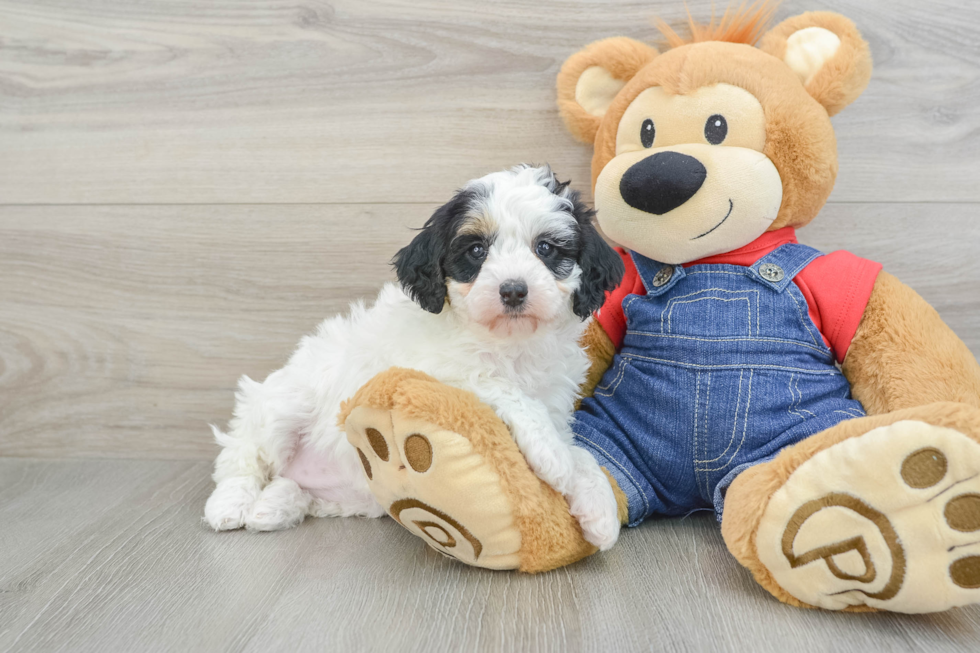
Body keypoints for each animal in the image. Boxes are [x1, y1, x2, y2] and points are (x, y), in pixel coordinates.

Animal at [203, 166, 624, 548]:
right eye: (476, 250)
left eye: (546, 249)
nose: (513, 290)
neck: (510, 343)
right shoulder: (430, 371)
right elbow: (501, 388)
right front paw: (553, 456)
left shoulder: (555, 403)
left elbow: (580, 452)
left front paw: (597, 506)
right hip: (280, 406)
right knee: (242, 458)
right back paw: (231, 505)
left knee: (290, 485)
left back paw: (274, 506)